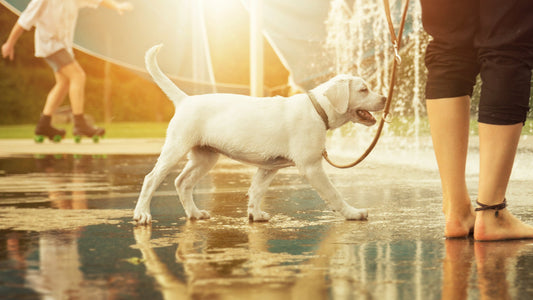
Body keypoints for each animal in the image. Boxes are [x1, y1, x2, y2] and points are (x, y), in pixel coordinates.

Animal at [132, 43, 382, 224]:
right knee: (151, 179)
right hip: (176, 148)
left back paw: (194, 213)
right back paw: (142, 214)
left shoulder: (269, 167)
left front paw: (255, 215)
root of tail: (185, 100)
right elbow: (334, 193)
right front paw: (352, 213)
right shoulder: (311, 167)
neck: (317, 108)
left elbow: (256, 190)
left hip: (205, 158)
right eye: (363, 89)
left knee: (182, 182)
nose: (385, 98)